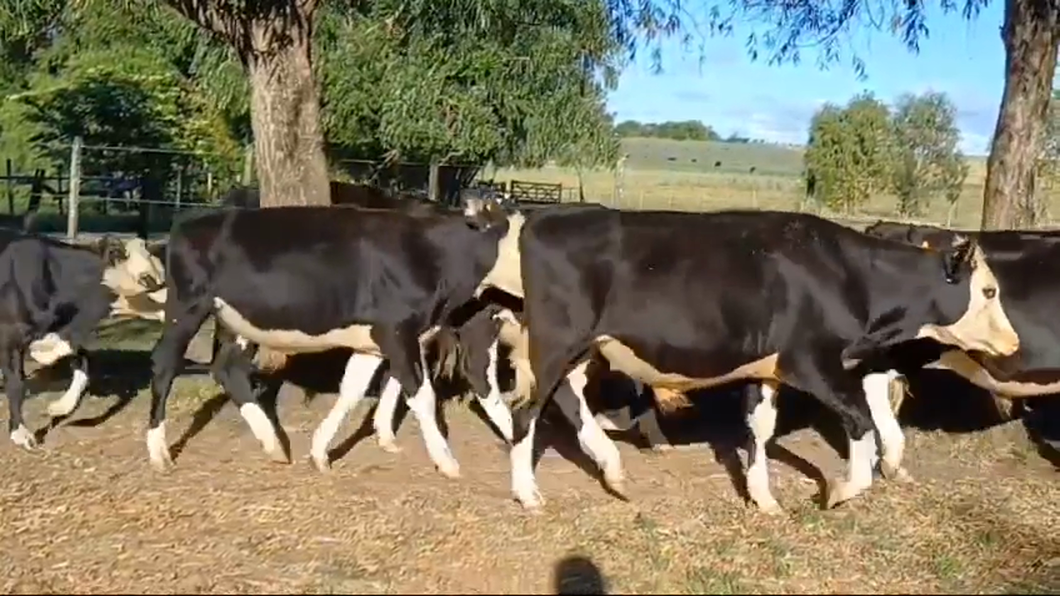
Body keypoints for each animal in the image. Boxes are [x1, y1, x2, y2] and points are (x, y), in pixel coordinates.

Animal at [470, 205, 1017, 511]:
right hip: (557, 340)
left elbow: (759, 429)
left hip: (581, 346)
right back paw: (529, 494)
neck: (846, 275)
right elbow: (861, 425)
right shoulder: (815, 364)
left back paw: (613, 471)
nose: (1013, 343)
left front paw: (764, 499)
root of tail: (539, 216)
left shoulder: (767, 369)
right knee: (526, 412)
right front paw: (838, 493)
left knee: (566, 398)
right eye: (990, 290)